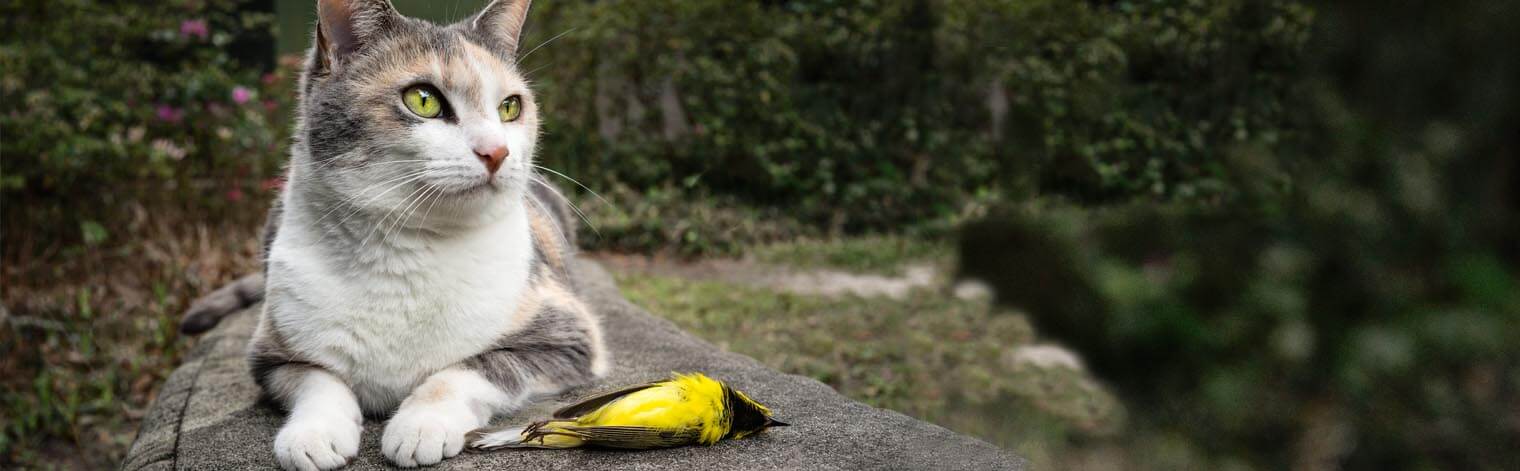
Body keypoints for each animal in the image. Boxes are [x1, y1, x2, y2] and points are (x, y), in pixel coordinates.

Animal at [176, 1, 604, 467]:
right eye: (423, 99)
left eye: (510, 107)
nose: (497, 151)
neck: (407, 251)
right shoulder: (270, 355)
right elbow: (318, 380)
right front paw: (313, 435)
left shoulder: (567, 337)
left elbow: (472, 368)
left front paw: (421, 425)